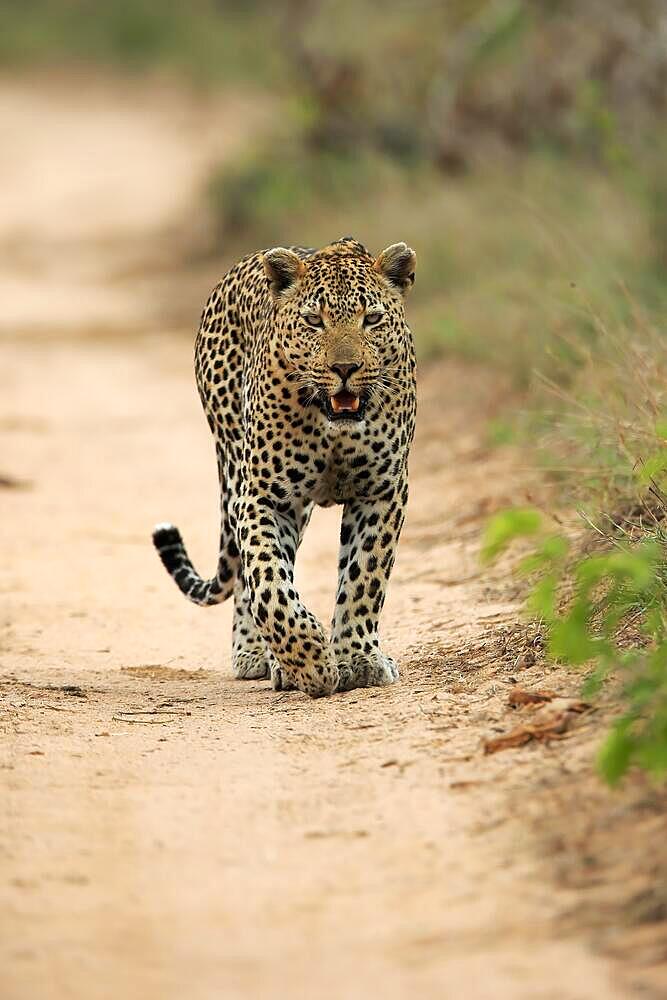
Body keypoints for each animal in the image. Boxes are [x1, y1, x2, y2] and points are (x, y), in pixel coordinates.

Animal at [153, 237, 418, 700]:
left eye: (371, 319)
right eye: (314, 321)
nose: (344, 369)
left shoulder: (383, 491)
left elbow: (364, 575)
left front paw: (358, 659)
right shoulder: (263, 497)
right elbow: (268, 580)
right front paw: (309, 660)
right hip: (237, 468)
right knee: (247, 576)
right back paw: (256, 654)